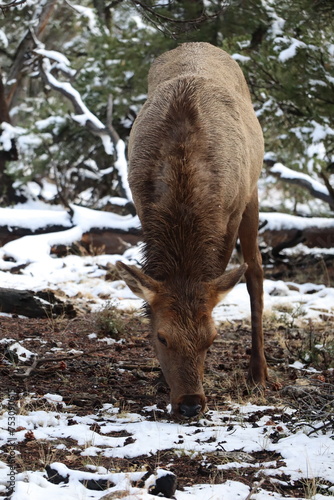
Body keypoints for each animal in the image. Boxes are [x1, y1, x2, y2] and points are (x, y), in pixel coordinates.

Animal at [116, 42, 268, 418]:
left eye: (211, 338)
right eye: (161, 337)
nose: (190, 404)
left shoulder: (231, 213)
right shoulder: (142, 207)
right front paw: (160, 379)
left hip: (253, 190)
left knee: (255, 271)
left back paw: (259, 373)